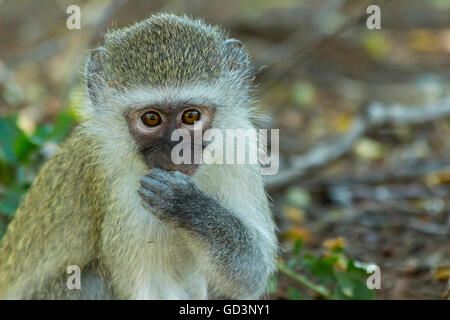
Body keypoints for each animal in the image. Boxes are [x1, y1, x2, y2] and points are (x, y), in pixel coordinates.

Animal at [0, 13, 278, 300]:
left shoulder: (241, 147)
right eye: (151, 118)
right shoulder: (123, 194)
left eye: (191, 116)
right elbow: (151, 288)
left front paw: (188, 205)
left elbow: (253, 269)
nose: (177, 152)